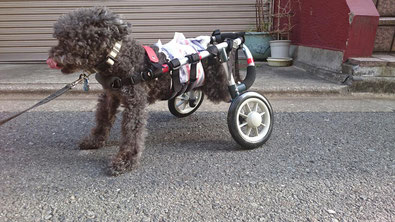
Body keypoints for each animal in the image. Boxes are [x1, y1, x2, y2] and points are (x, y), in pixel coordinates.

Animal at [49, 7, 235, 176]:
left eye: (72, 38)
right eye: (59, 38)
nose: (52, 59)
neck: (116, 58)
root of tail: (211, 46)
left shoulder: (134, 102)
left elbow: (132, 132)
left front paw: (125, 161)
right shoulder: (110, 96)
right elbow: (103, 120)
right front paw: (95, 141)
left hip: (217, 86)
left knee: (235, 94)